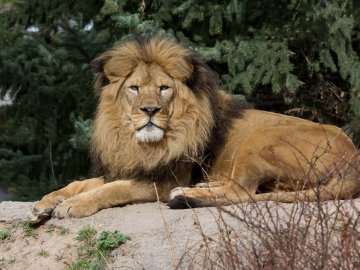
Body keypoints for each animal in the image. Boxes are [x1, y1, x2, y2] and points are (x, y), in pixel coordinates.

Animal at [28, 34, 360, 223]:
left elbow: (112, 189)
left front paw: (73, 206)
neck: (140, 144)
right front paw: (44, 204)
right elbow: (81, 183)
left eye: (163, 88)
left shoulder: (162, 181)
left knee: (243, 191)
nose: (150, 110)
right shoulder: (131, 167)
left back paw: (187, 192)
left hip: (260, 138)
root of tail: (354, 160)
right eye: (134, 88)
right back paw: (202, 186)